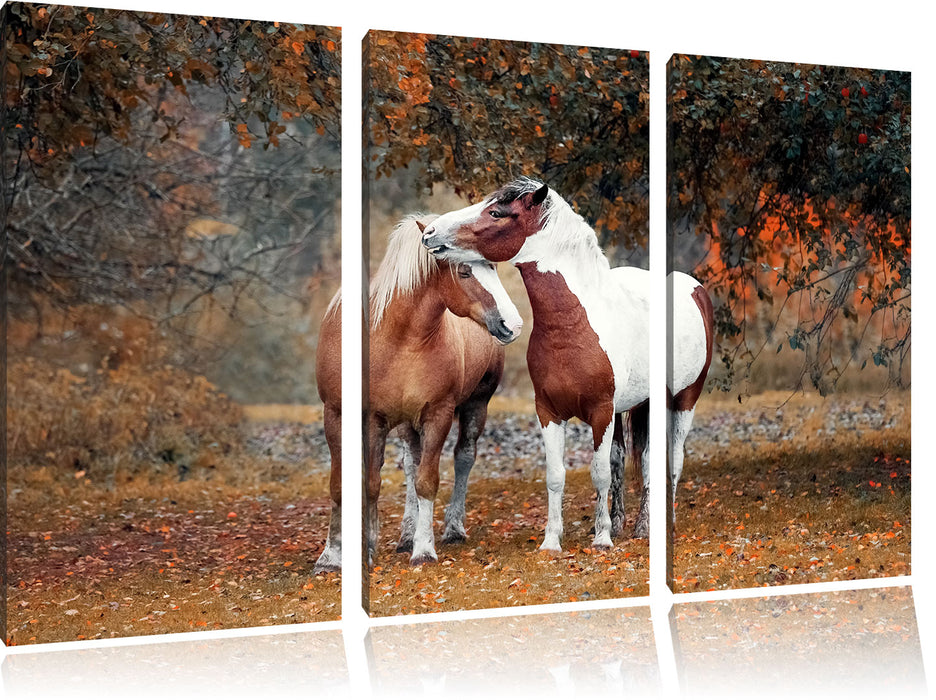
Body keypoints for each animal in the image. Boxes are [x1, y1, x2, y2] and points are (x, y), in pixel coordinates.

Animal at [312, 215, 520, 576]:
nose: (512, 324)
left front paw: (424, 550)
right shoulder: (360, 417)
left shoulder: (438, 413)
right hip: (407, 422)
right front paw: (337, 555)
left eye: (492, 266)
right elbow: (358, 483)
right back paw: (406, 535)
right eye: (464, 271)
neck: (396, 338)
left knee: (463, 457)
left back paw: (451, 529)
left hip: (476, 405)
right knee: (411, 462)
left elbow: (427, 481)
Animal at [420, 178, 712, 548]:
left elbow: (599, 473)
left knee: (670, 461)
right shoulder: (549, 412)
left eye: (497, 212)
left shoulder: (601, 412)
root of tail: (695, 290)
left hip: (684, 400)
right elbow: (558, 475)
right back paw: (629, 525)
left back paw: (658, 525)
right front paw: (552, 541)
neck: (572, 325)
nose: (430, 232)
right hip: (635, 405)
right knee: (628, 459)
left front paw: (601, 540)